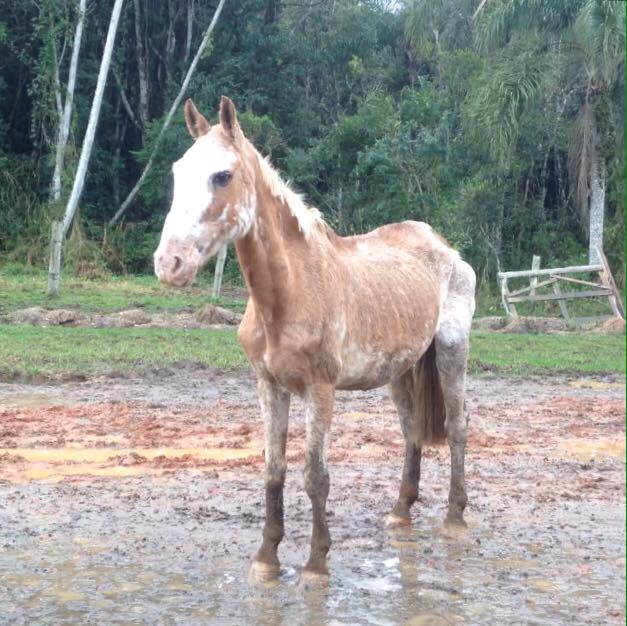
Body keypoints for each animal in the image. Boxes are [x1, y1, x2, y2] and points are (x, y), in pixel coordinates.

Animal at [156, 95, 476, 584]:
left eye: (222, 175)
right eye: (177, 173)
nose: (169, 263)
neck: (291, 291)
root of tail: (444, 246)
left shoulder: (320, 390)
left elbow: (315, 476)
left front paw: (315, 561)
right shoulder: (270, 386)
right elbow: (273, 470)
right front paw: (266, 558)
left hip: (451, 351)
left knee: (457, 427)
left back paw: (456, 517)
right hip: (399, 371)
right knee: (412, 432)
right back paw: (401, 510)